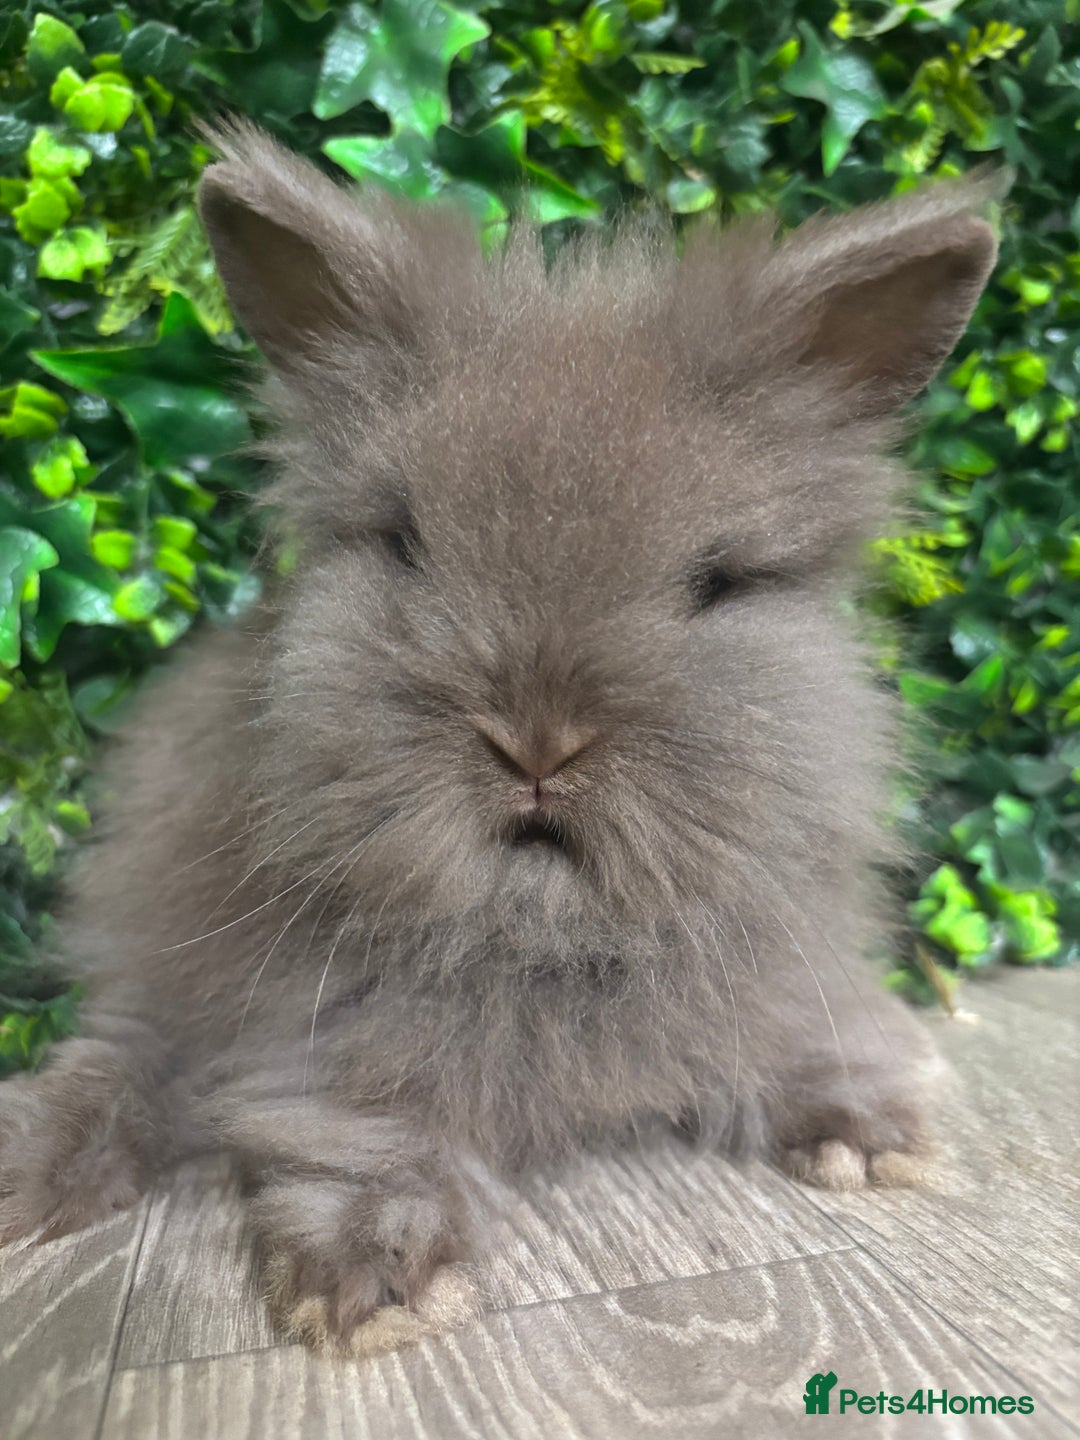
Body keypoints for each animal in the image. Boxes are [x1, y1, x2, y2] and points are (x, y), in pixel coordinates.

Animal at [0, 120, 999, 1357]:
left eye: (717, 582)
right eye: (402, 542)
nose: (537, 744)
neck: (544, 933)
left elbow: (803, 1034)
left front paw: (870, 1140)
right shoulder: (328, 1036)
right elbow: (364, 1128)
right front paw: (372, 1286)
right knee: (124, 1053)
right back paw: (27, 1176)